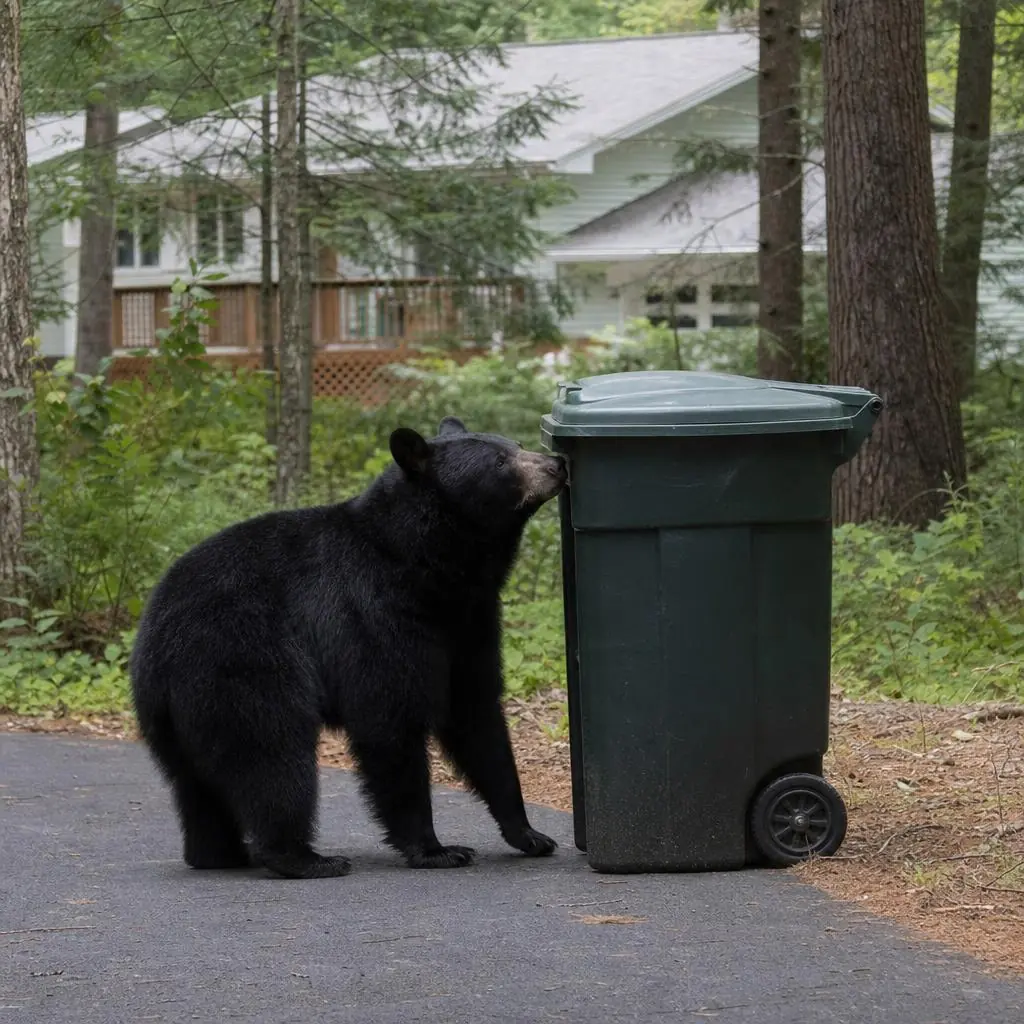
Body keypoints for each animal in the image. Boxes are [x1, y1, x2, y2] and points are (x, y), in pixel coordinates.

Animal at [130, 416, 567, 879]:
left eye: (515, 444)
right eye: (500, 461)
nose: (556, 464)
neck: (429, 568)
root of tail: (155, 648)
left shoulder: (468, 625)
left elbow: (477, 718)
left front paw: (530, 834)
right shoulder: (374, 616)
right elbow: (390, 720)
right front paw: (435, 849)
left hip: (174, 717)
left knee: (196, 784)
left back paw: (220, 854)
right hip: (240, 664)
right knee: (272, 755)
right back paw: (304, 858)